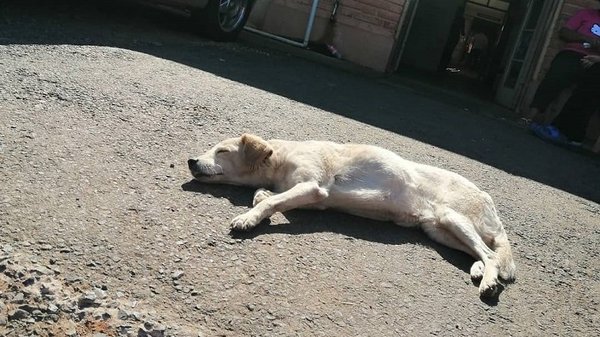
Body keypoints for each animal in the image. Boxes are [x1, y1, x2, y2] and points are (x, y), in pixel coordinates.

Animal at [188, 133, 516, 296]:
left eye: (222, 151)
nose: (191, 161)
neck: (280, 159)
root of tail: (487, 197)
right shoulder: (307, 196)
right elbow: (263, 196)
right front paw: (259, 202)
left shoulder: (312, 187)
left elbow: (268, 202)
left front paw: (249, 218)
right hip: (439, 230)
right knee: (484, 252)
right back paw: (479, 270)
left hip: (453, 217)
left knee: (490, 252)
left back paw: (489, 282)